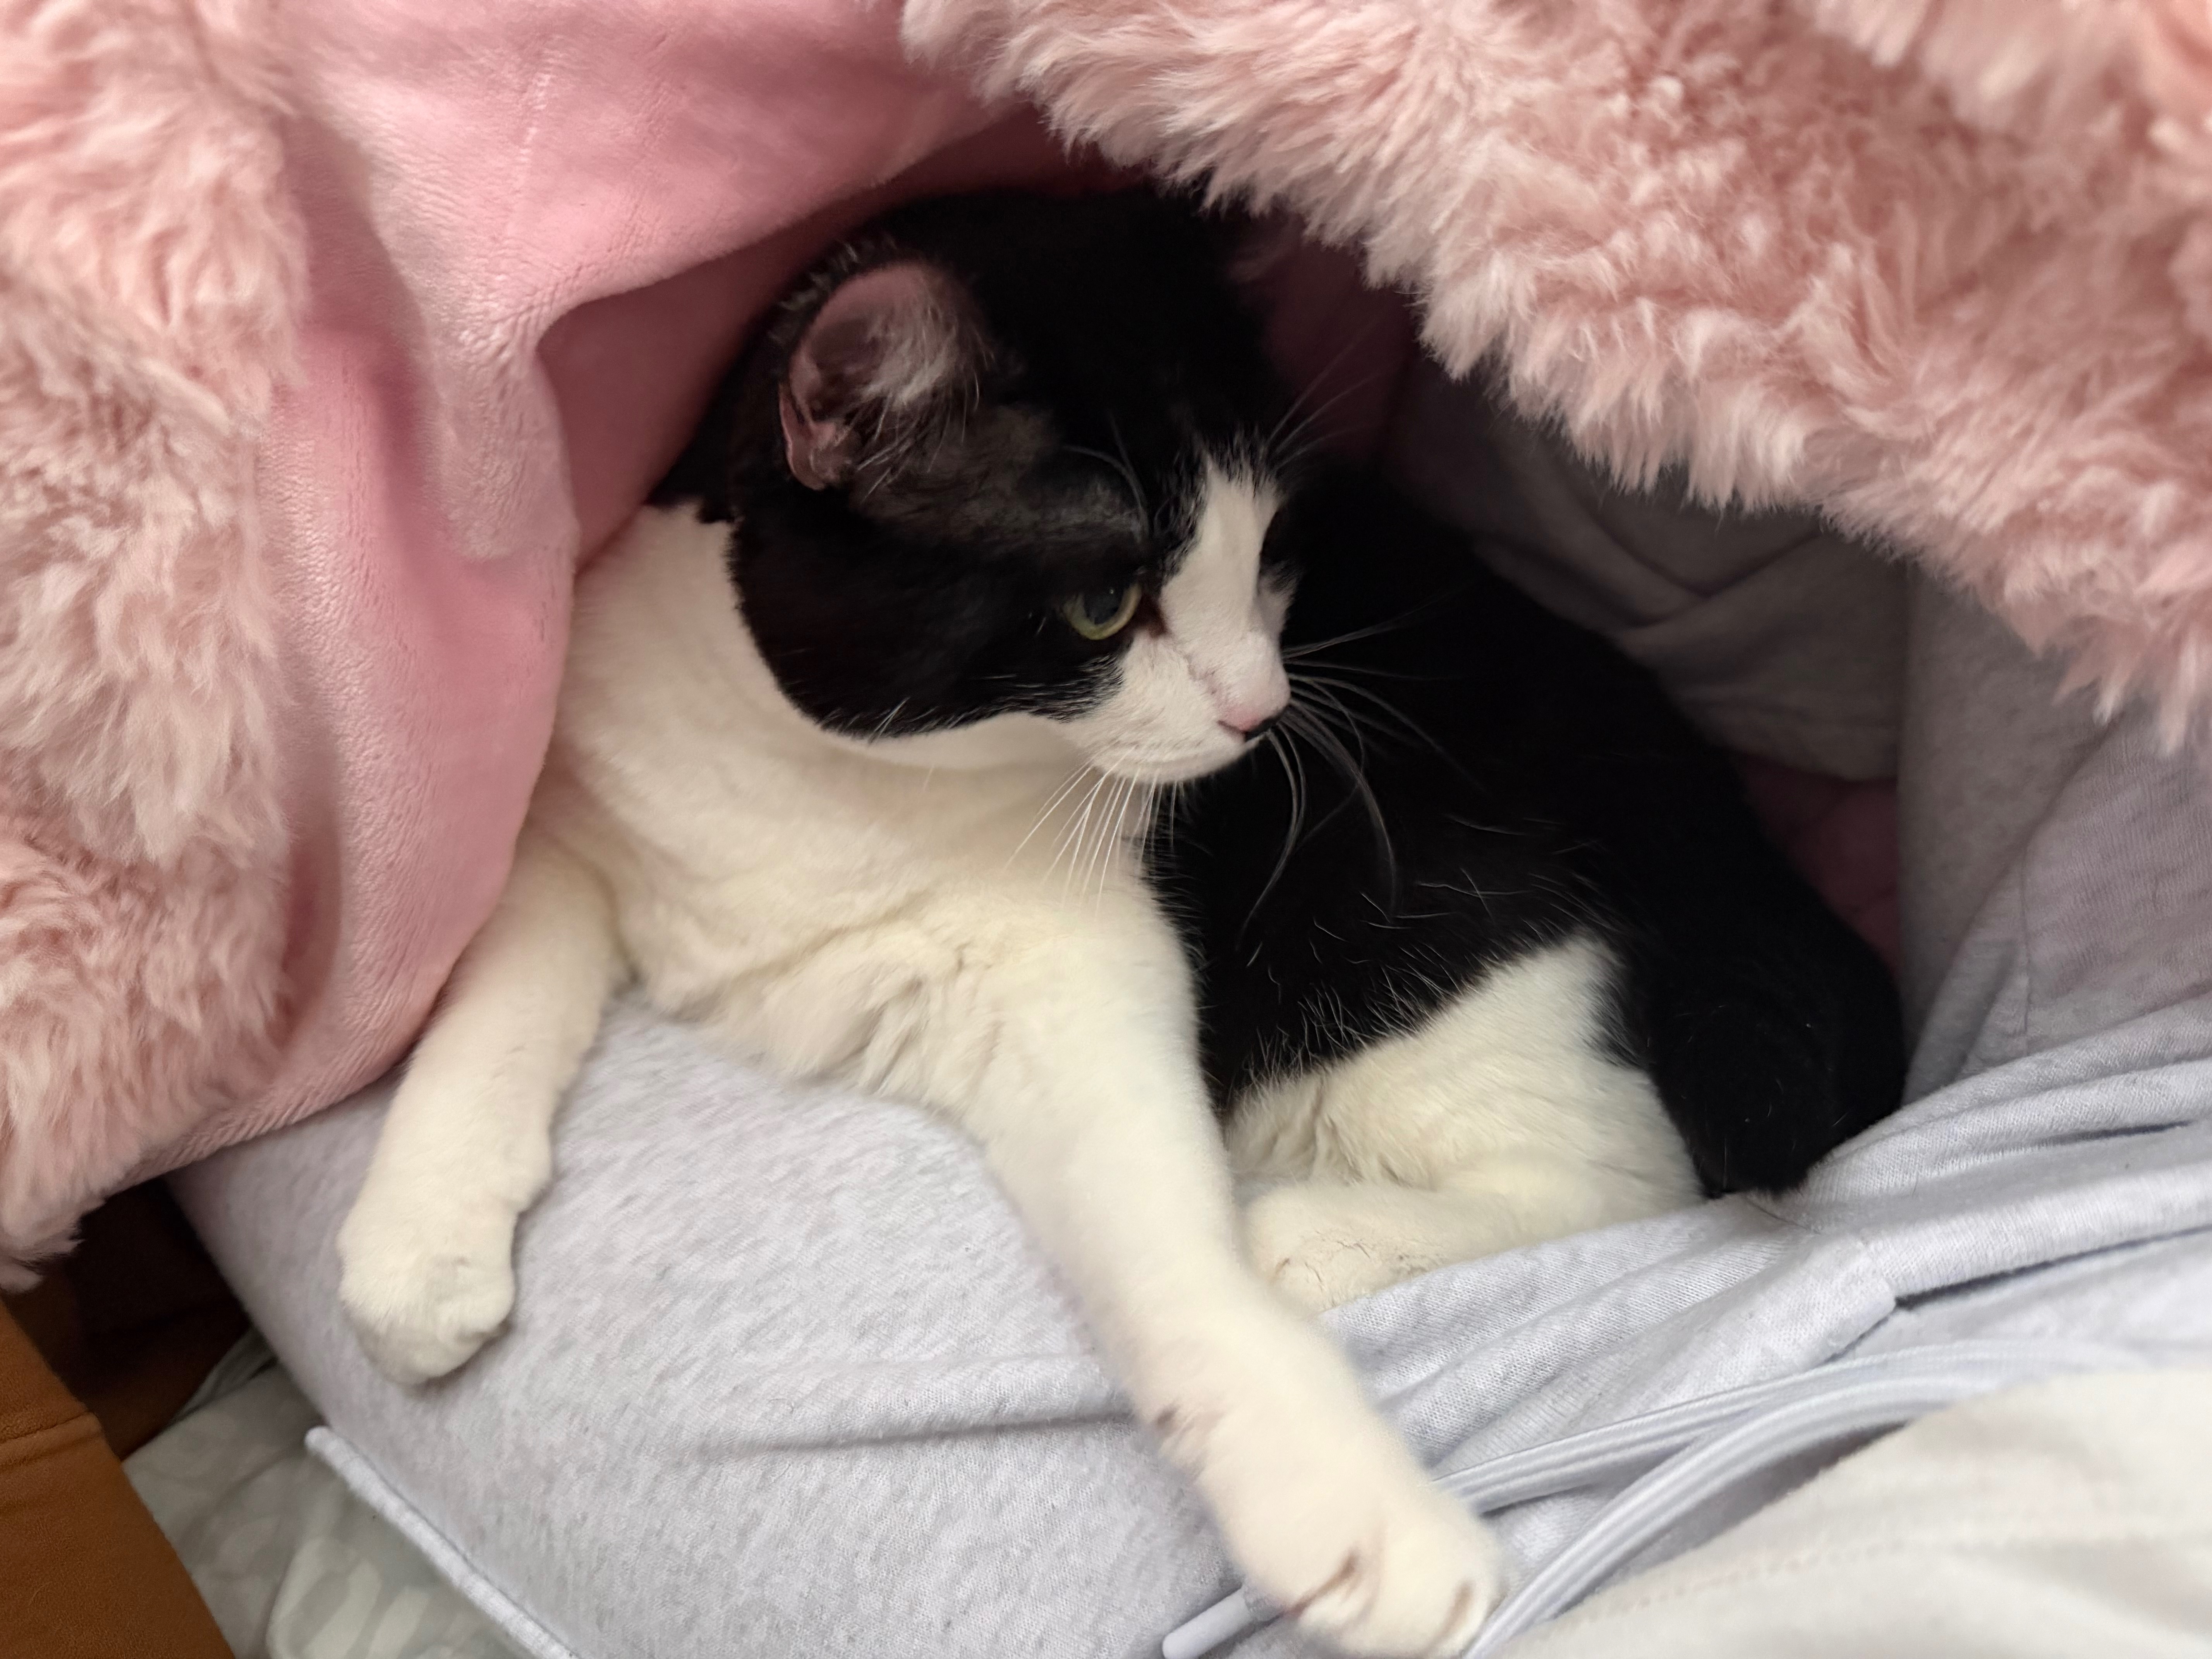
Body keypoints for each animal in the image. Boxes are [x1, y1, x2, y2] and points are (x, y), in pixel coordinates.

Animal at [336, 189, 1902, 1657]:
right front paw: (421, 1241)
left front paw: (1350, 1509)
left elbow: (1166, 1247)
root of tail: (1717, 823)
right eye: (1105, 604)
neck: (832, 787)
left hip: (1428, 949)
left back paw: (1312, 1234)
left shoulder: (1080, 976)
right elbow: (496, 978)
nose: (1265, 710)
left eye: (1271, 555)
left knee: (1632, 1167)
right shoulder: (583, 802)